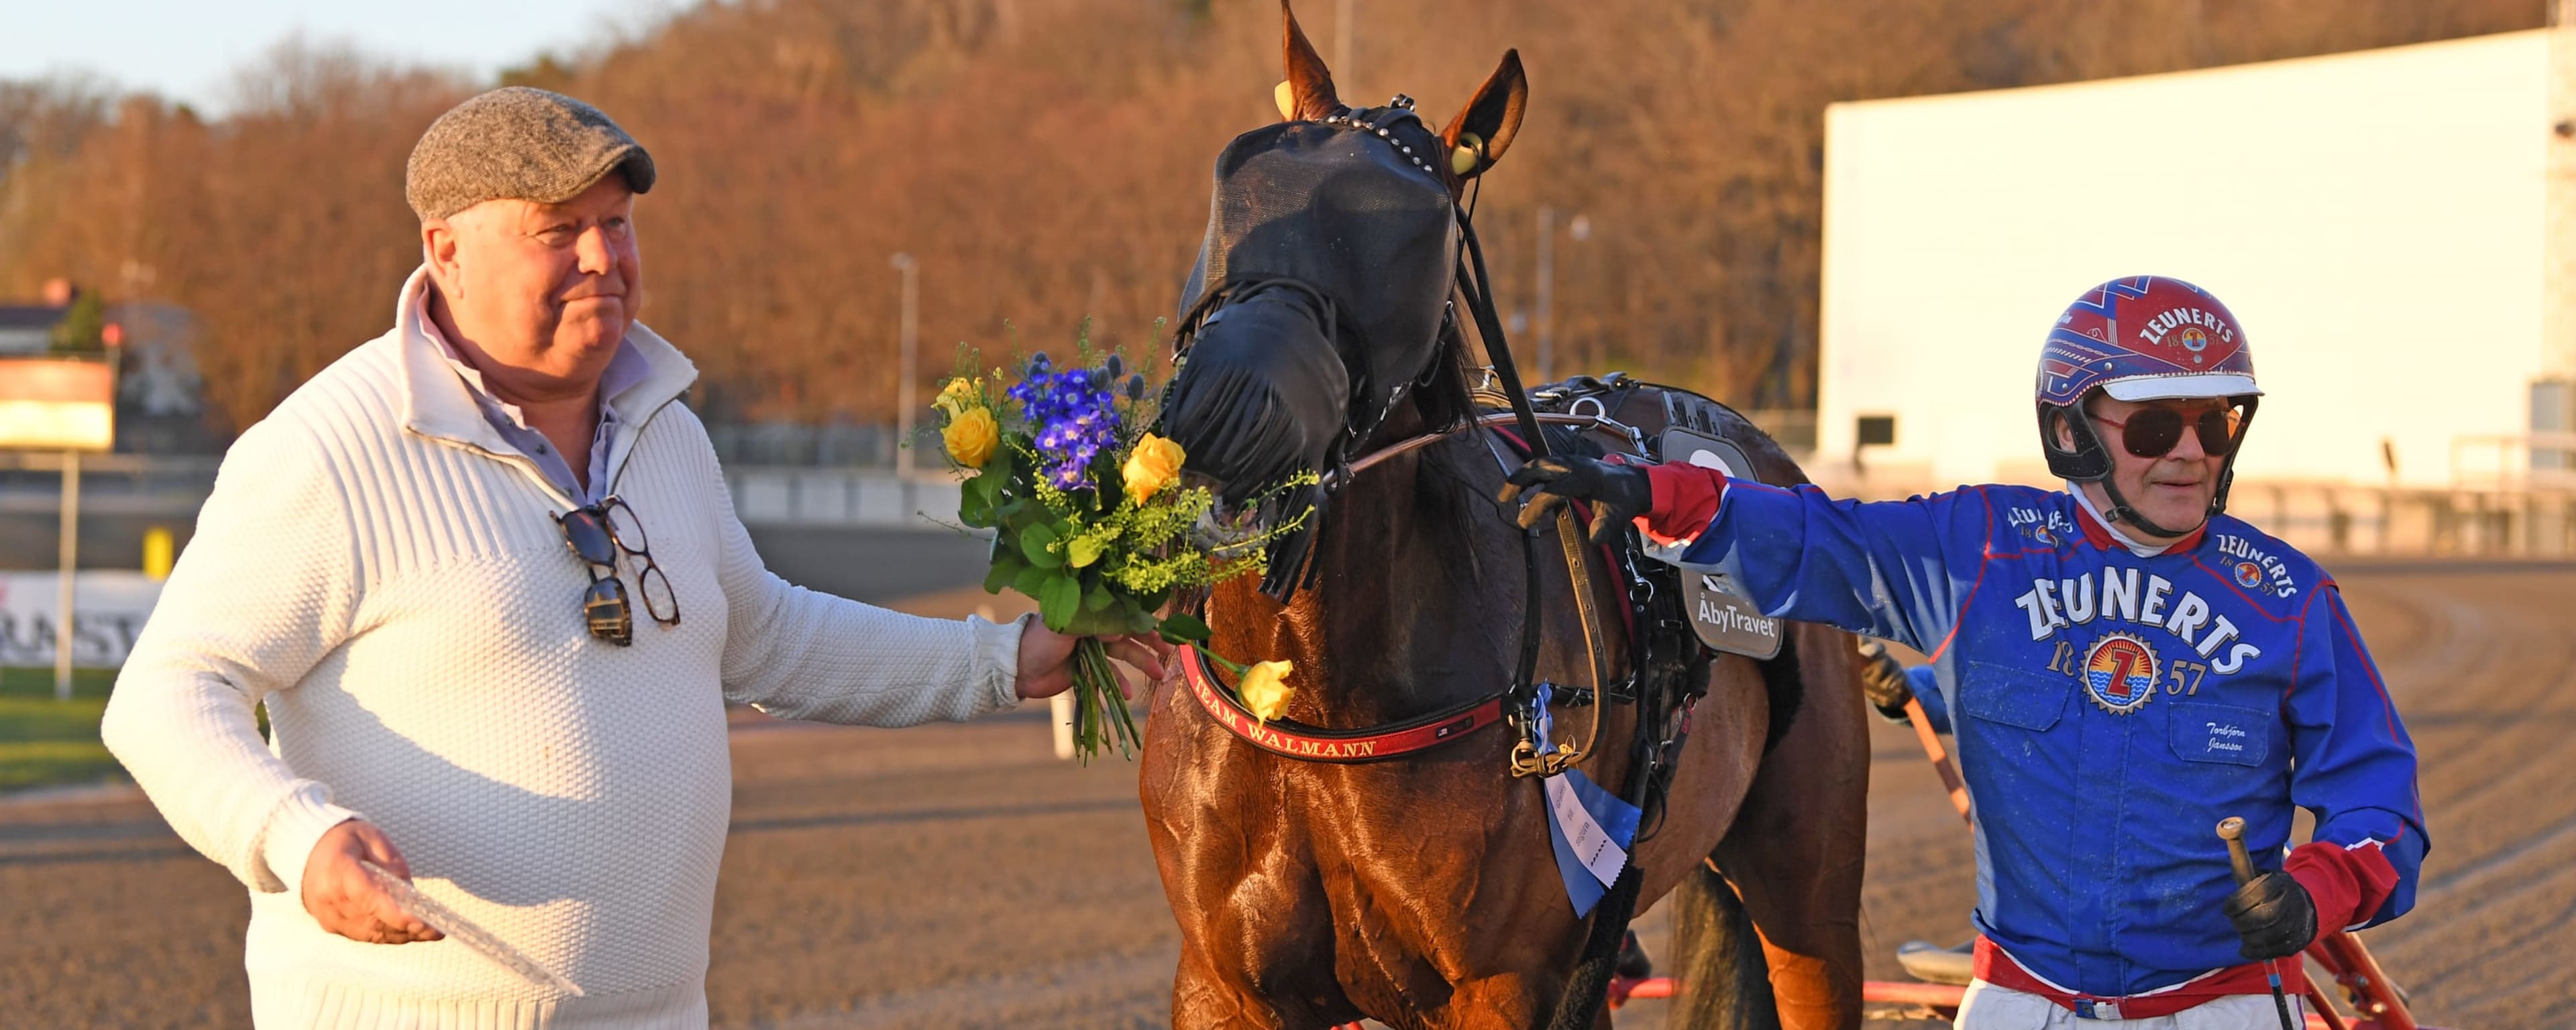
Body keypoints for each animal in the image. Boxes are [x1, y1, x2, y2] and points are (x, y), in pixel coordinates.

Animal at [1138, 4, 1865, 1025]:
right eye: (1237, 188)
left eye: (1408, 232)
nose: (1224, 406)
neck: (1316, 703)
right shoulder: (1222, 981)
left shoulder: (1503, 982)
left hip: (1809, 899)